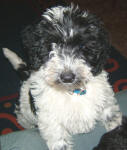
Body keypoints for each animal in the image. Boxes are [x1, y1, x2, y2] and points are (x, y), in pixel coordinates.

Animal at [2, 4, 122, 150]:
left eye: (83, 47)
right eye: (50, 46)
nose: (67, 77)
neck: (72, 92)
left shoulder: (106, 101)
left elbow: (112, 118)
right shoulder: (50, 121)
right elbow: (59, 141)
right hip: (25, 111)